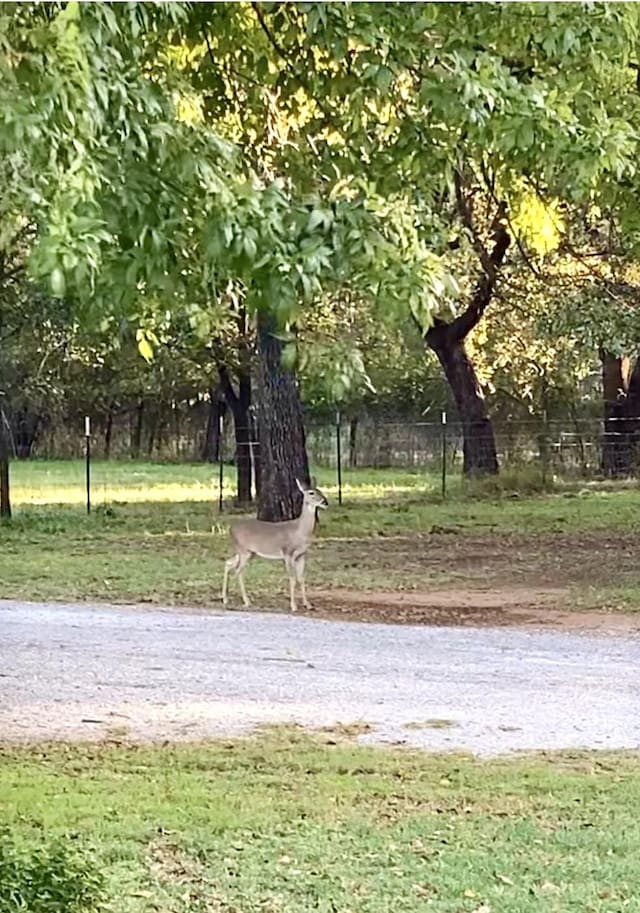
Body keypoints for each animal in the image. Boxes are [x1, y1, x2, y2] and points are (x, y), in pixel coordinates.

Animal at [221, 478, 330, 612]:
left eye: (320, 490)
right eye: (311, 492)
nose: (325, 502)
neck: (300, 531)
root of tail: (230, 529)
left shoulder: (302, 555)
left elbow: (301, 578)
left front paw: (308, 604)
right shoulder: (288, 553)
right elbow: (292, 578)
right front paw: (293, 606)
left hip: (247, 552)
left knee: (228, 563)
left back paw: (225, 599)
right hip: (243, 550)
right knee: (238, 571)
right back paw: (246, 601)